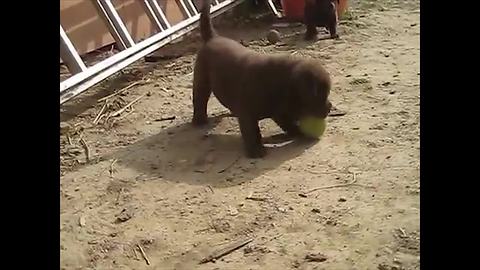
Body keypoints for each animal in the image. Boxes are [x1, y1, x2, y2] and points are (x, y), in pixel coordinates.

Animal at [193, 0, 332, 158]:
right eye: (318, 95)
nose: (329, 107)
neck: (282, 83)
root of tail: (213, 37)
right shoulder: (248, 113)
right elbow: (252, 132)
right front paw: (256, 150)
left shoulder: (281, 111)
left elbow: (289, 124)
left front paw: (299, 133)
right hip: (202, 80)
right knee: (199, 99)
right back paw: (199, 121)